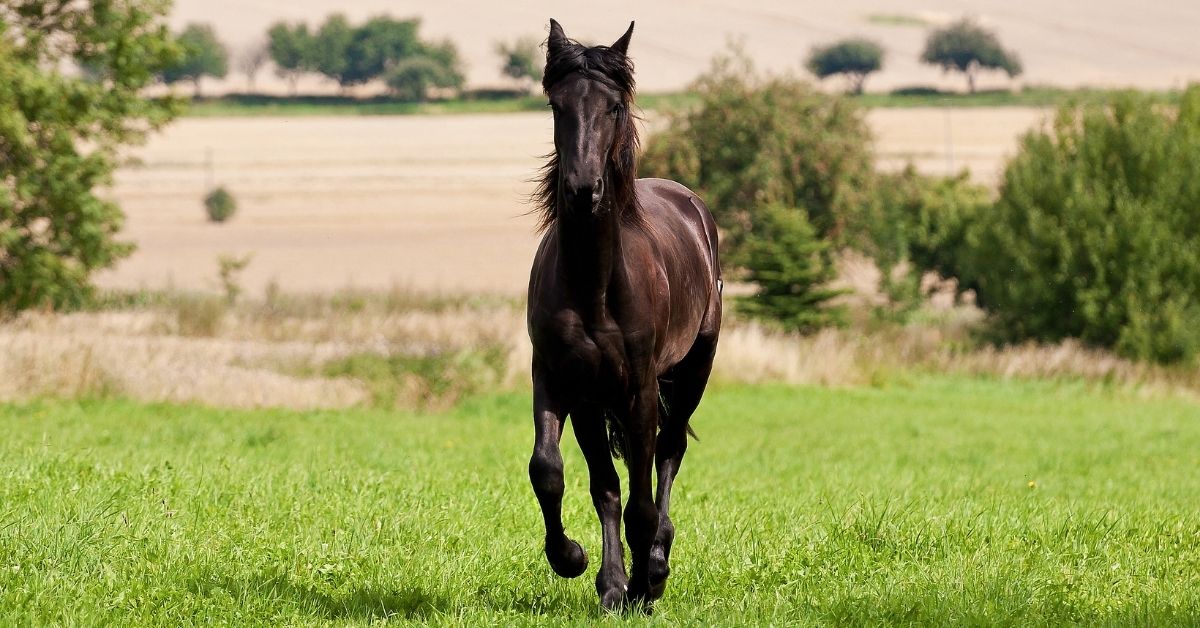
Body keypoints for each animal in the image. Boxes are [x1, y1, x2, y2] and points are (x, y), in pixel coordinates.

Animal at [525, 17, 720, 612]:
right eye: (557, 105)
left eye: (613, 106)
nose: (583, 189)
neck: (595, 287)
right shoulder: (560, 379)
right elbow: (558, 474)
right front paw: (582, 566)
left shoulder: (638, 390)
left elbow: (640, 500)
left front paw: (642, 585)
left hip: (693, 370)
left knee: (668, 455)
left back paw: (655, 566)